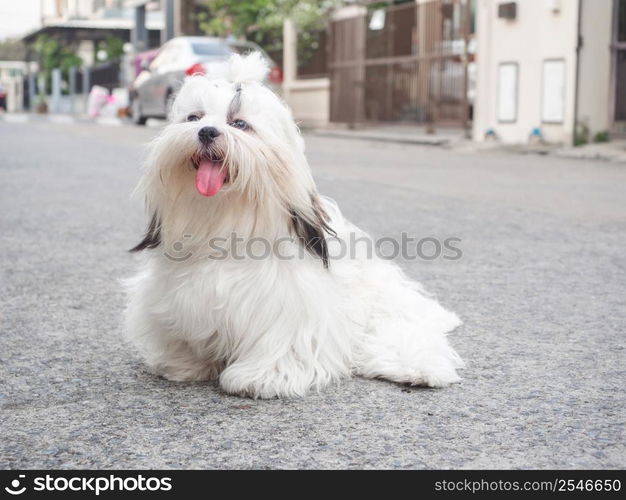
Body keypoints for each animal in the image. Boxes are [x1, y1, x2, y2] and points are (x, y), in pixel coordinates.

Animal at [124, 52, 460, 398]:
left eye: (239, 124)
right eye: (194, 117)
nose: (205, 132)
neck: (224, 220)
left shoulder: (289, 306)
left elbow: (281, 342)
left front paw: (262, 377)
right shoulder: (177, 298)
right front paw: (185, 363)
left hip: (385, 311)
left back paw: (419, 369)